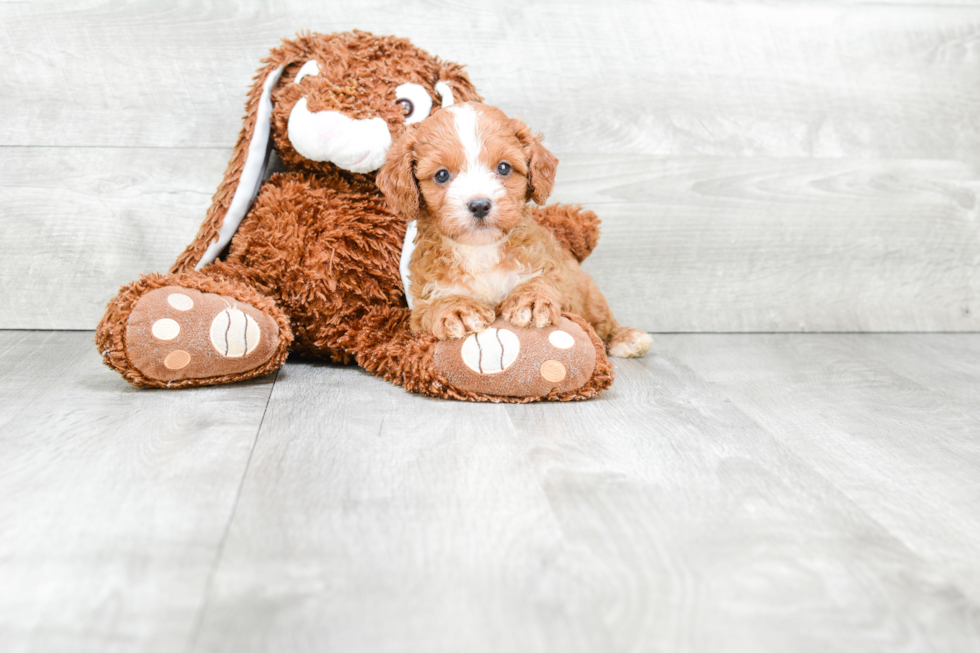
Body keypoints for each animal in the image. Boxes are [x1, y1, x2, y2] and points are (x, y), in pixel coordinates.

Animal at [378, 101, 656, 356]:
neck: (481, 249)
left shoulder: (555, 272)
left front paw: (531, 299)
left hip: (590, 293)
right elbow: (434, 307)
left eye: (503, 168)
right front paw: (456, 309)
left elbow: (546, 282)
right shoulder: (422, 304)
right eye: (442, 175)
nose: (479, 205)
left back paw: (626, 337)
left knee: (603, 320)